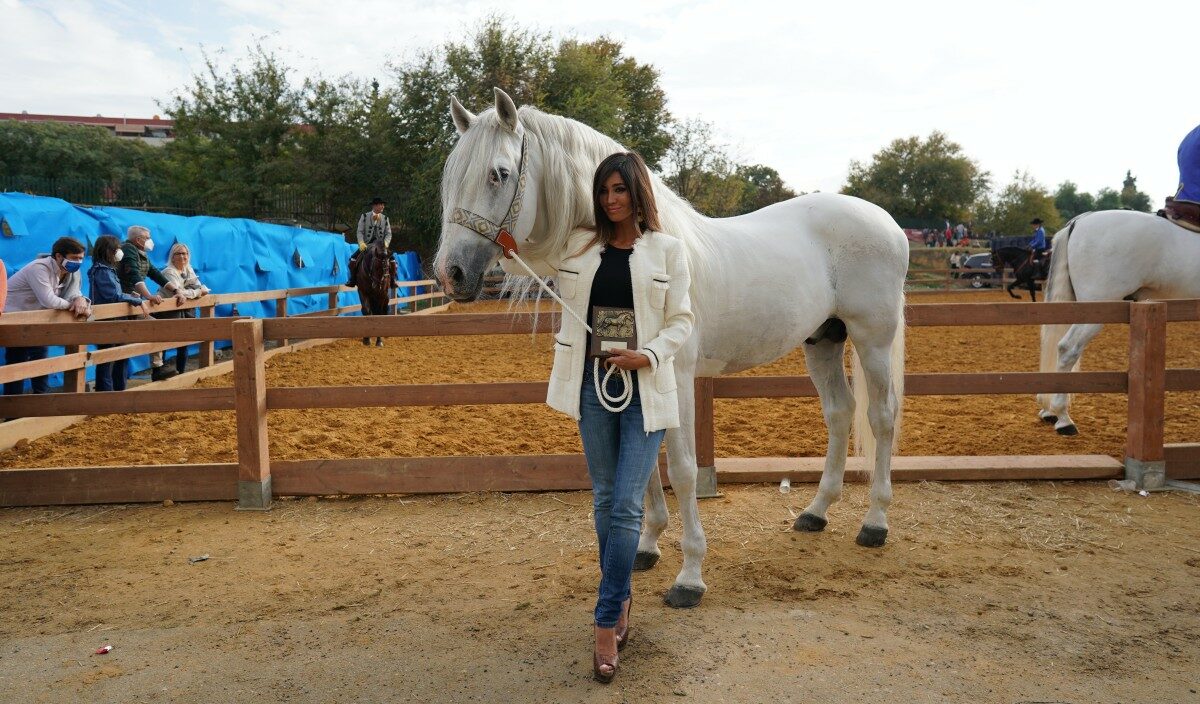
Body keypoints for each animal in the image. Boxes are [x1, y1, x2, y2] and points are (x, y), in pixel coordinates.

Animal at [436, 86, 902, 606]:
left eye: (498, 173)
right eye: (451, 176)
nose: (450, 273)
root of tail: (886, 221)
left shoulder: (673, 375)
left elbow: (681, 470)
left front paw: (690, 575)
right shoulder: (627, 375)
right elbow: (643, 469)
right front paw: (646, 547)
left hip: (872, 338)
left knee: (881, 416)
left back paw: (875, 523)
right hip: (822, 340)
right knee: (840, 413)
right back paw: (816, 512)